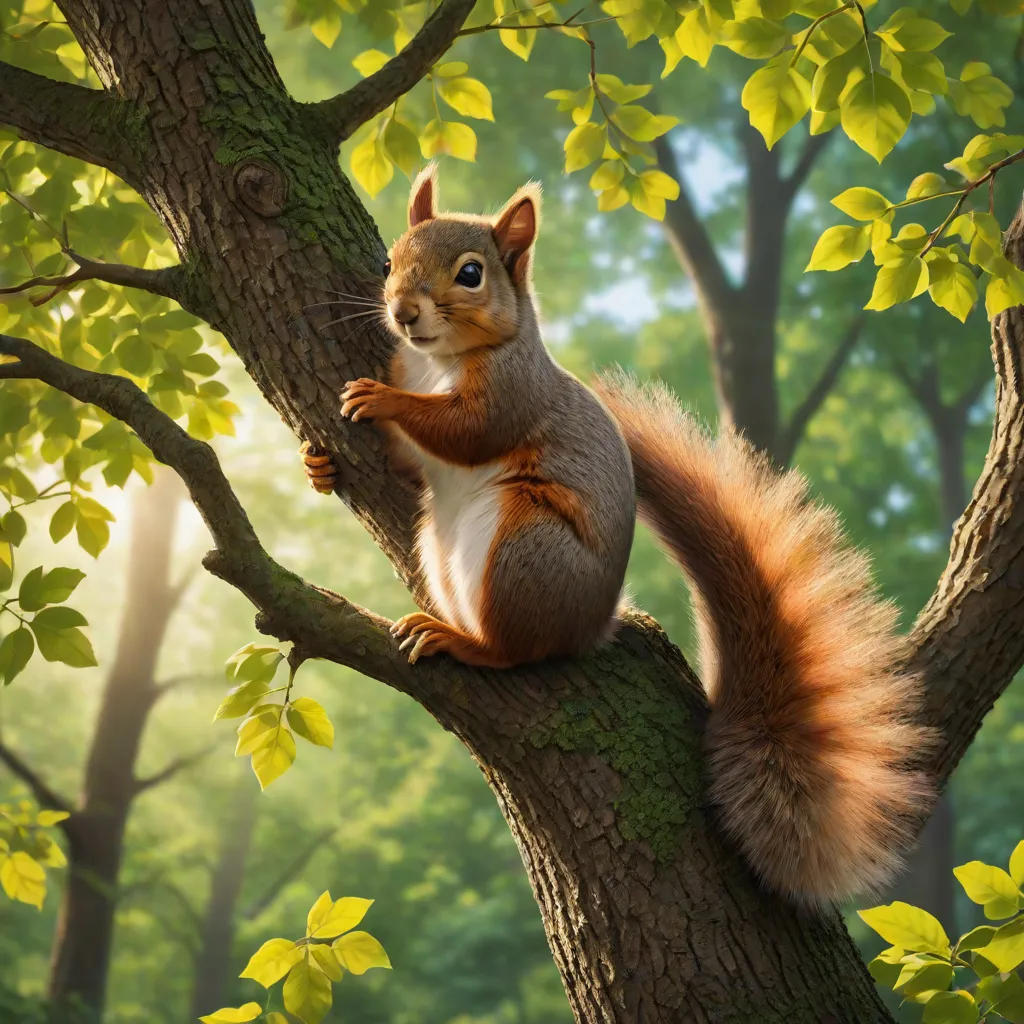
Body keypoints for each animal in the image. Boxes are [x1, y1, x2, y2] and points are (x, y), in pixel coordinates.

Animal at [305, 165, 931, 906]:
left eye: (470, 274)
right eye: (388, 262)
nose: (403, 313)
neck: (440, 362)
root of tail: (593, 626)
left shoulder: (513, 392)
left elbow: (467, 431)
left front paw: (382, 400)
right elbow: (410, 464)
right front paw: (320, 466)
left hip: (526, 545)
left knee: (517, 651)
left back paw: (466, 642)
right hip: (441, 543)